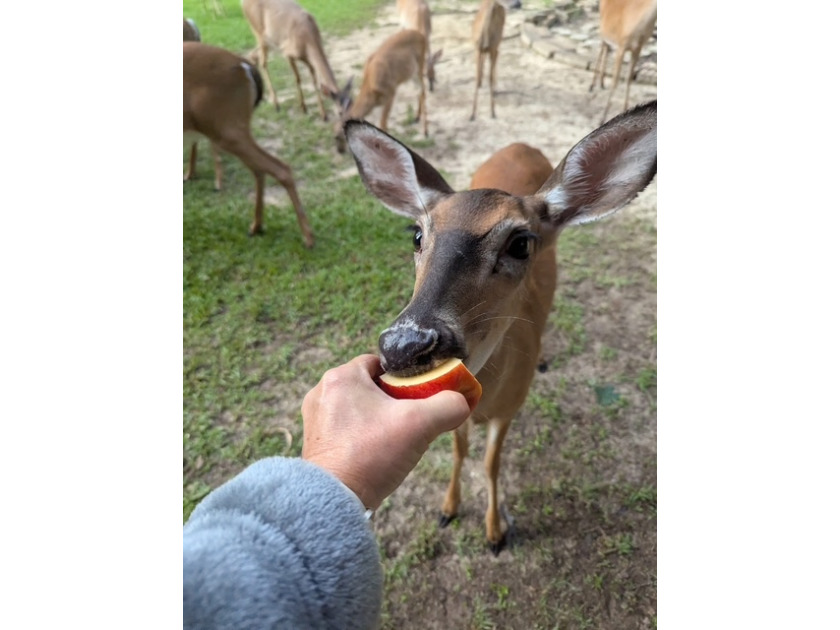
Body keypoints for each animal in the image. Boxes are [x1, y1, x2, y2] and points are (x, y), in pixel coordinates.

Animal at [183, 42, 314, 248]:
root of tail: (244, 65)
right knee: (260, 169)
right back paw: (256, 227)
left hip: (226, 129)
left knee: (280, 167)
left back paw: (307, 237)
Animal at [343, 100, 657, 553]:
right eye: (417, 235)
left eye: (521, 243)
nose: (405, 345)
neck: (487, 396)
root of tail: (520, 143)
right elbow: (460, 452)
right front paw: (449, 509)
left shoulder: (510, 407)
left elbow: (491, 464)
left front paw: (495, 533)